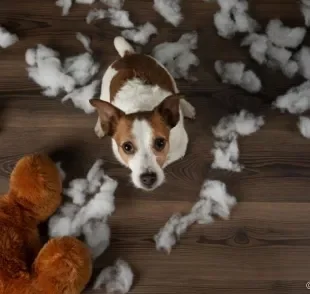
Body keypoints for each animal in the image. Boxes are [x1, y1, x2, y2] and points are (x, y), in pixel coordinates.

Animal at [91, 36, 195, 191]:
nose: (148, 178)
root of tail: (128, 55)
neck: (140, 107)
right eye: (127, 147)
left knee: (178, 93)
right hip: (104, 92)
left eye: (160, 143)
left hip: (170, 78)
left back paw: (186, 107)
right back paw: (101, 125)